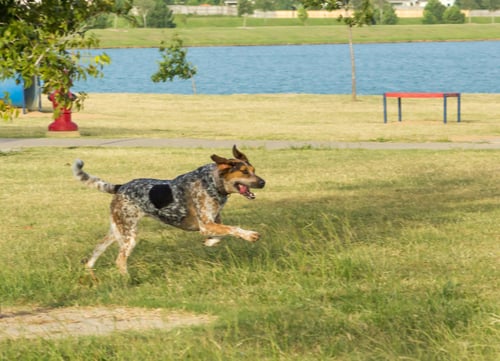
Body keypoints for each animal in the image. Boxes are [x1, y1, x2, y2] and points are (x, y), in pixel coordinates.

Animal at [73, 145, 266, 274]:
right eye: (244, 172)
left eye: (254, 170)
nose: (263, 182)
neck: (212, 183)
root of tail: (120, 187)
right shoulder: (206, 224)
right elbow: (233, 229)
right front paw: (250, 235)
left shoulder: (212, 223)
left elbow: (221, 236)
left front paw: (210, 242)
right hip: (129, 236)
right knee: (119, 260)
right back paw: (126, 280)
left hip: (118, 230)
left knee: (97, 249)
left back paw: (89, 272)